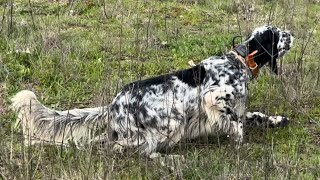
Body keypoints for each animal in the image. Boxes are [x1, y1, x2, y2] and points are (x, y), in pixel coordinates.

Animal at [11, 25, 294, 158]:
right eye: (277, 34)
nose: (292, 33)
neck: (239, 62)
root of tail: (113, 105)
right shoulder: (213, 97)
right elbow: (236, 124)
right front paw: (239, 144)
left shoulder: (237, 106)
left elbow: (253, 116)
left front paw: (277, 120)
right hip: (172, 120)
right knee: (131, 148)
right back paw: (169, 159)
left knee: (107, 142)